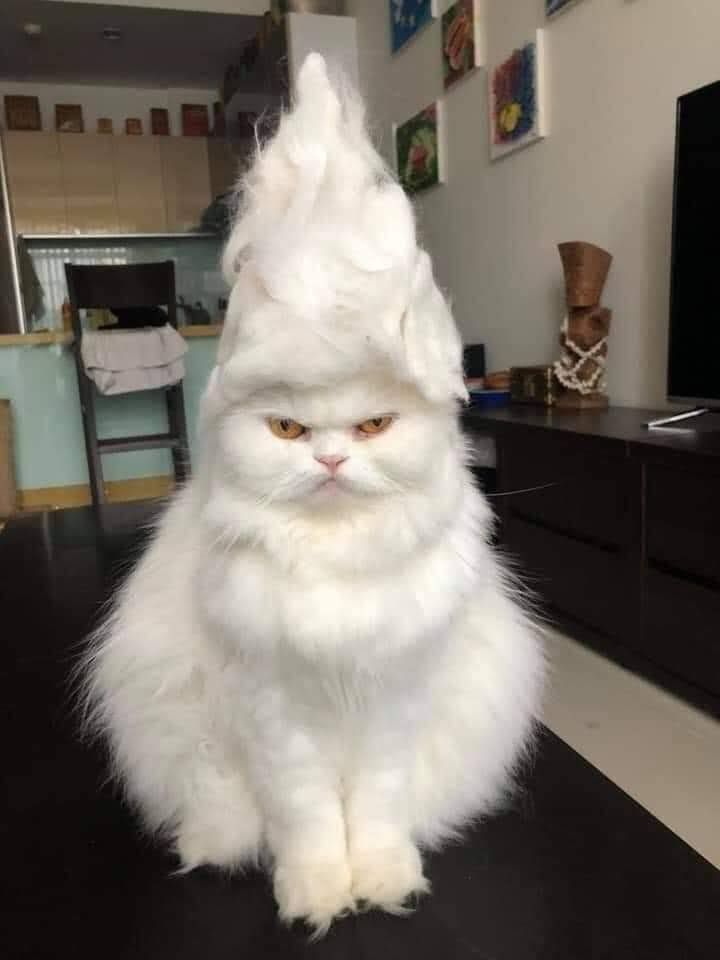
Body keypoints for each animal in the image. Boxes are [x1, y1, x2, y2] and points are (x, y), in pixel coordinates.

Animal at [81, 56, 544, 932]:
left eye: (372, 426)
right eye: (289, 429)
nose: (330, 460)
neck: (332, 561)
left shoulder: (394, 698)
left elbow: (376, 810)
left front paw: (386, 883)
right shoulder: (274, 713)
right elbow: (307, 819)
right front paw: (315, 898)